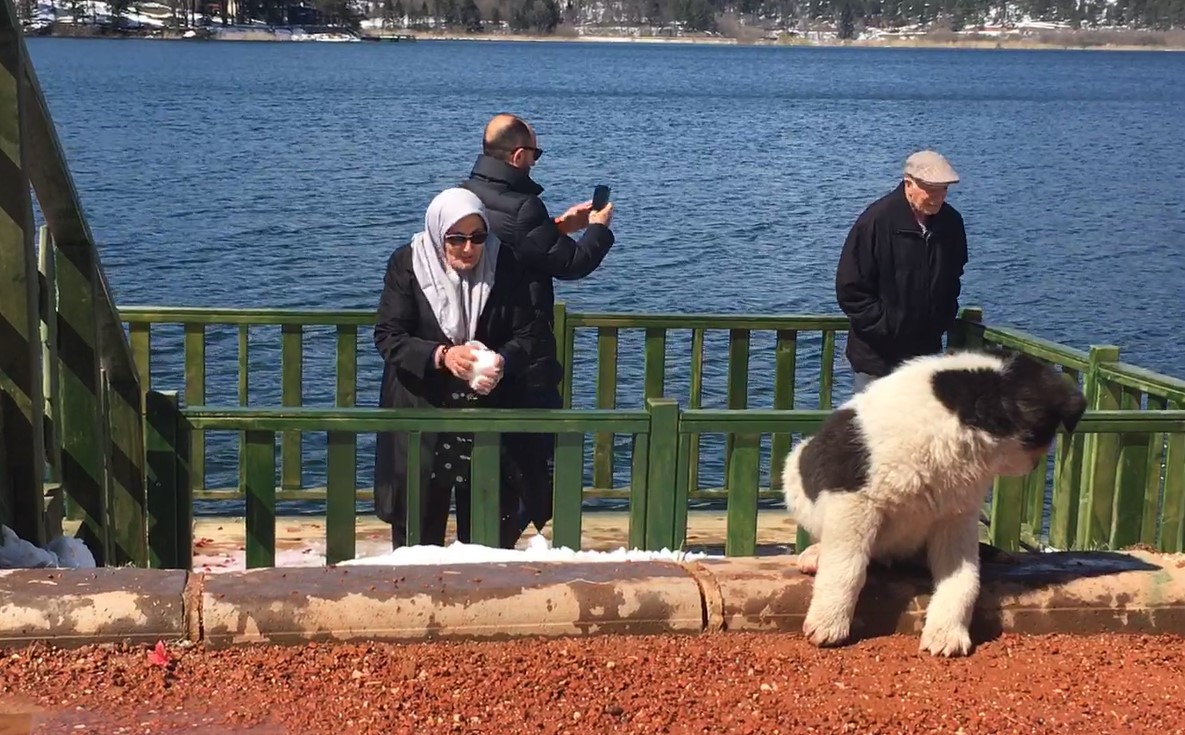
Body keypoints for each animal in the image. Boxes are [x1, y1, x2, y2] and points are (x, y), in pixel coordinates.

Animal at [782, 348, 1085, 654]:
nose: (1036, 465)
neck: (950, 425)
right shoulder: (854, 501)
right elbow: (846, 566)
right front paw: (829, 621)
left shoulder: (956, 516)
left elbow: (963, 578)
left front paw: (947, 632)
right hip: (795, 474)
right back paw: (816, 555)